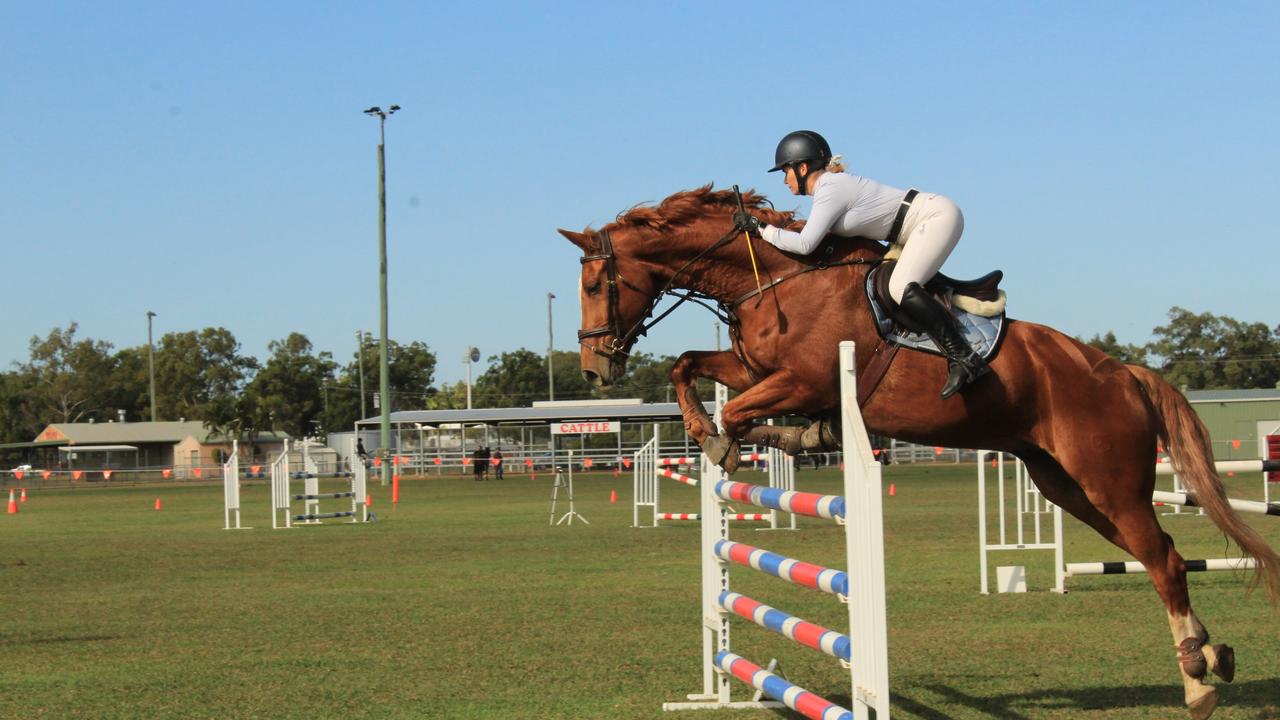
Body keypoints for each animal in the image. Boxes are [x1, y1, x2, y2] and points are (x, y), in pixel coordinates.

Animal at [560, 183, 1280, 712]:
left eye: (595, 285)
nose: (595, 369)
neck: (775, 278)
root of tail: (1123, 372)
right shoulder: (753, 367)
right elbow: (687, 364)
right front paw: (764, 435)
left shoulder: (801, 378)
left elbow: (734, 411)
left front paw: (728, 444)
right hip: (1067, 486)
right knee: (1166, 556)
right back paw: (1211, 656)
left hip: (1109, 480)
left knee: (1163, 560)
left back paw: (1196, 684)